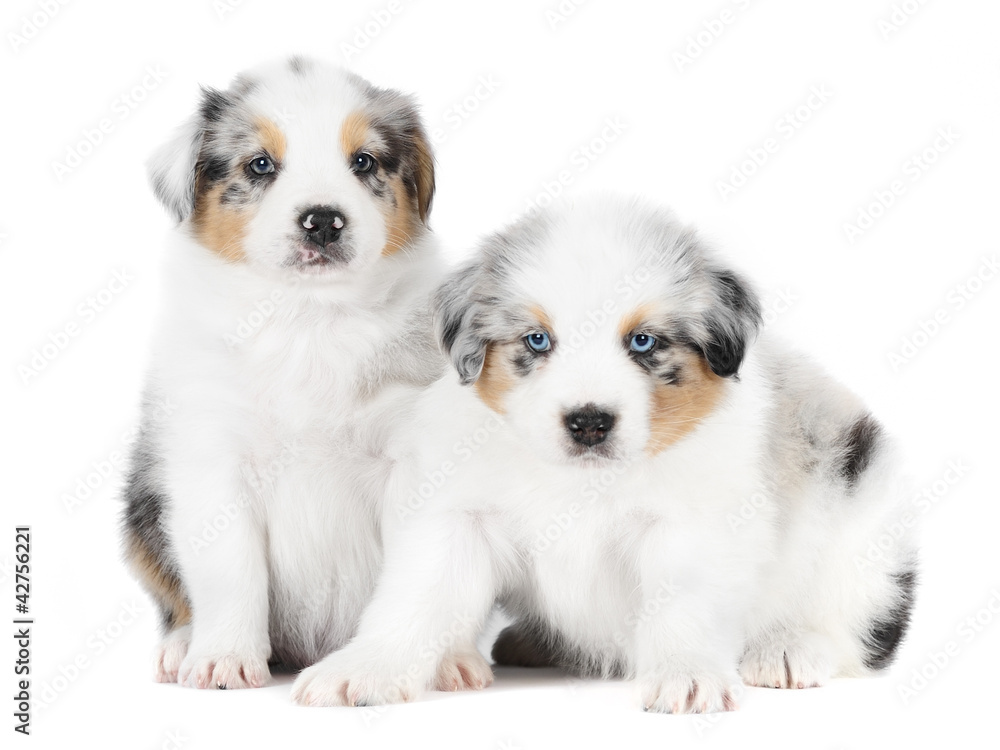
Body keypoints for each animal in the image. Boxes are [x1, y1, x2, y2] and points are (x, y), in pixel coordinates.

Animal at [120, 57, 442, 692]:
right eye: (260, 164)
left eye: (363, 162)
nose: (323, 221)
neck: (307, 321)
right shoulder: (213, 459)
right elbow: (230, 569)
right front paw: (224, 659)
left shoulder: (410, 454)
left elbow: (415, 573)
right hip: (140, 513)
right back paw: (182, 645)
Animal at [290, 194, 916, 712]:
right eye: (537, 340)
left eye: (643, 341)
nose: (589, 422)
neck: (584, 479)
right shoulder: (459, 513)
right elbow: (418, 594)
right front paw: (364, 668)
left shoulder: (696, 522)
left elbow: (683, 602)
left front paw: (687, 676)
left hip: (860, 517)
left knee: (851, 627)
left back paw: (787, 648)